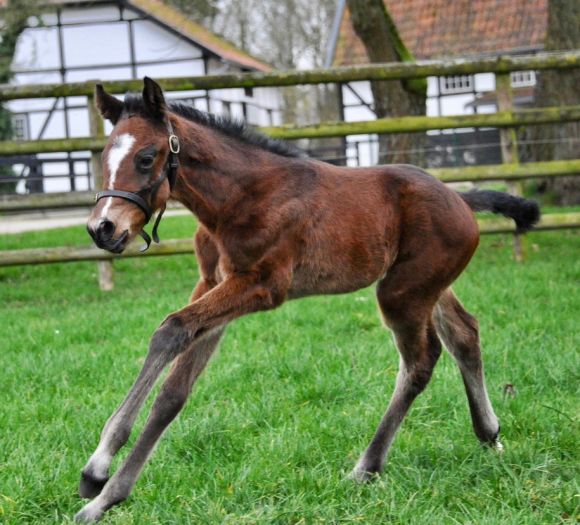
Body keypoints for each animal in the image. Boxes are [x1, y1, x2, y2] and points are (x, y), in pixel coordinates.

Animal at [77, 78, 540, 520]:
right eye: (105, 157)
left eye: (146, 157)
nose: (103, 228)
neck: (242, 196)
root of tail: (460, 198)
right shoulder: (213, 282)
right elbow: (174, 388)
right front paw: (101, 481)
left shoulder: (262, 286)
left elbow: (170, 330)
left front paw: (102, 481)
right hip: (427, 287)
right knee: (465, 333)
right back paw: (489, 434)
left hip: (402, 293)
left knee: (420, 361)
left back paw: (367, 467)